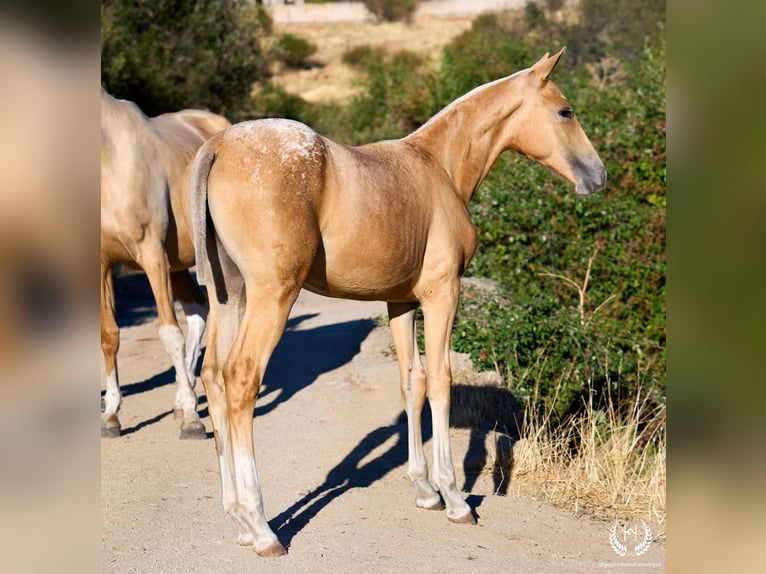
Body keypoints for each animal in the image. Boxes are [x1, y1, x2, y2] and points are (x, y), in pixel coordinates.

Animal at [100, 88, 230, 439]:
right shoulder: (100, 264)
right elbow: (109, 336)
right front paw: (111, 415)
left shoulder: (152, 255)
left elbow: (170, 334)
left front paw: (192, 418)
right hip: (179, 264)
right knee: (198, 310)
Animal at [189, 48, 605, 556]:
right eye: (565, 111)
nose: (597, 175)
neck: (439, 167)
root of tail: (218, 146)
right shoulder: (442, 293)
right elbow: (442, 380)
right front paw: (454, 498)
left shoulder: (399, 303)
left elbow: (413, 382)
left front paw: (424, 490)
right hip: (271, 297)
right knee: (241, 378)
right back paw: (261, 525)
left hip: (229, 297)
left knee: (213, 376)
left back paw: (238, 520)